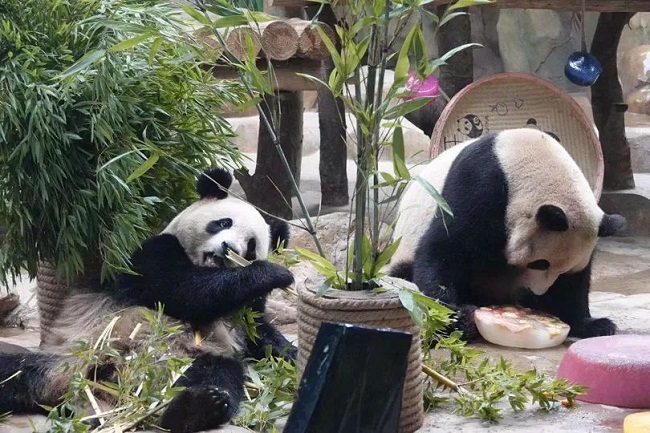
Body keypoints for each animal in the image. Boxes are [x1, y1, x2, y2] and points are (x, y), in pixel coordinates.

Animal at [0, 168, 296, 433]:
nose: (227, 250)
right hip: (69, 357)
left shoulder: (247, 312)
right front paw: (274, 274)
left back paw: (197, 407)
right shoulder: (149, 256)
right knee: (14, 370)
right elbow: (182, 290)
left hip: (183, 359)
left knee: (218, 373)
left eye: (250, 246)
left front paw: (291, 356)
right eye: (224, 223)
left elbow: (260, 336)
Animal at [388, 128, 625, 341]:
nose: (536, 293)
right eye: (540, 263)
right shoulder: (480, 184)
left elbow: (577, 281)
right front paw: (455, 319)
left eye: (563, 271)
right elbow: (444, 248)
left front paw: (591, 324)